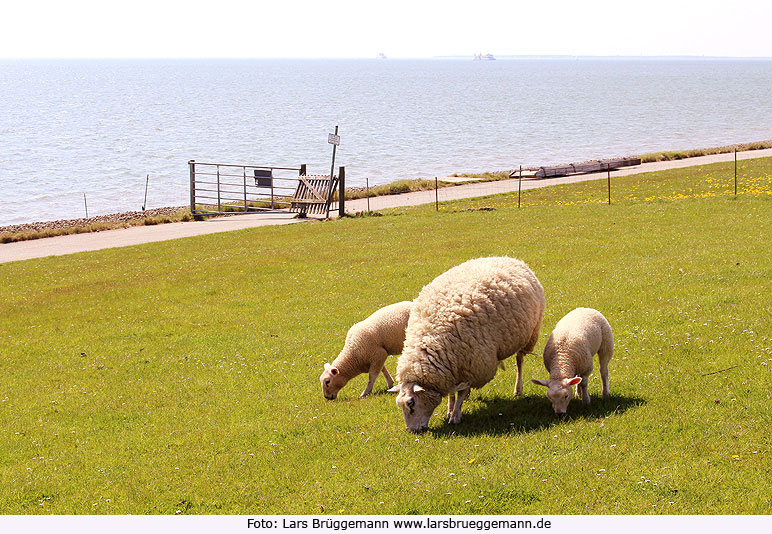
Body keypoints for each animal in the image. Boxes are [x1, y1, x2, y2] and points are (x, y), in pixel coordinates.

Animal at [390, 256, 544, 436]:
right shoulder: (452, 367)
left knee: (519, 361)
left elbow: (461, 392)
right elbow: (452, 392)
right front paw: (450, 409)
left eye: (411, 404)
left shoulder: (472, 365)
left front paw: (455, 416)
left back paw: (518, 389)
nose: (412, 431)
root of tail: (509, 258)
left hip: (529, 335)